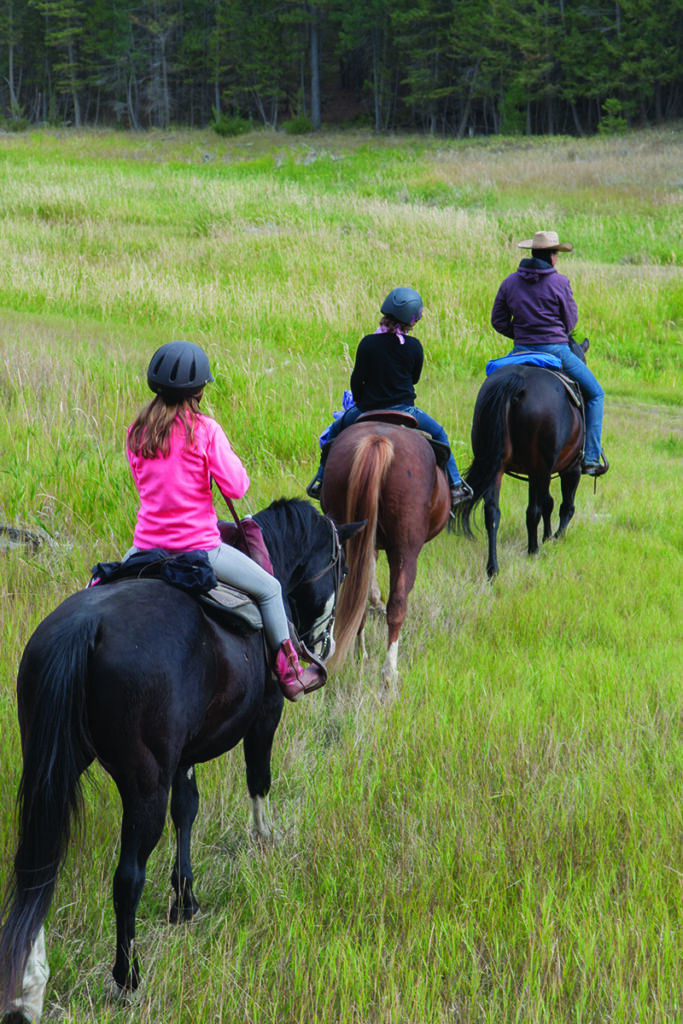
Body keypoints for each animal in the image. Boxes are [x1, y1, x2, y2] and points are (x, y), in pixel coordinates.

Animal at [0, 497, 362, 1015]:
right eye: (342, 566)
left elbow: (186, 810)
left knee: (36, 867)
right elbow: (258, 778)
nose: (325, 644)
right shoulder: (265, 716)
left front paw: (185, 901)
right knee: (127, 878)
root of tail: (84, 627)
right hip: (143, 785)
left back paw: (28, 989)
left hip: (52, 768)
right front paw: (265, 840)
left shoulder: (183, 753)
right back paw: (127, 978)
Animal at [321, 411, 450, 684]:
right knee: (398, 604)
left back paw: (355, 654)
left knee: (351, 596)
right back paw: (389, 672)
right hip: (405, 548)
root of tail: (378, 440)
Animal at [454, 337, 593, 573]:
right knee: (535, 510)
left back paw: (493, 568)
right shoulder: (569, 468)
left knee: (492, 512)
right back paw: (533, 551)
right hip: (542, 468)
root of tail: (517, 382)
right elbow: (564, 506)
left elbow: (547, 502)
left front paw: (547, 537)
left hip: (498, 466)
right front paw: (554, 538)